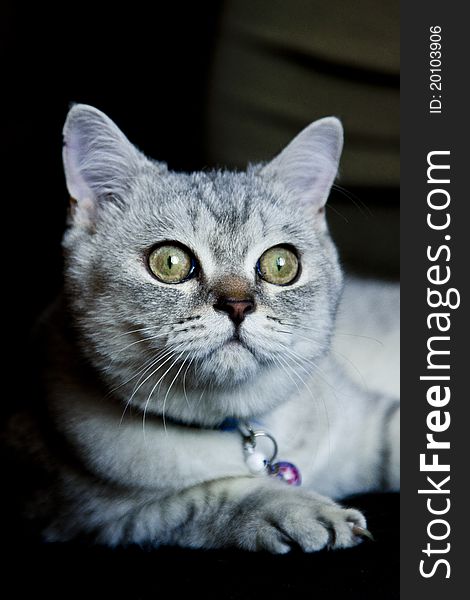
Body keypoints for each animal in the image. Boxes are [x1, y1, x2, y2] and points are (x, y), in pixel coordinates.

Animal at [5, 104, 398, 552]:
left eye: (281, 264)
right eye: (169, 262)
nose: (238, 305)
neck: (234, 427)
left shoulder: (369, 421)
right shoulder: (90, 516)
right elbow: (213, 495)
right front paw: (300, 509)